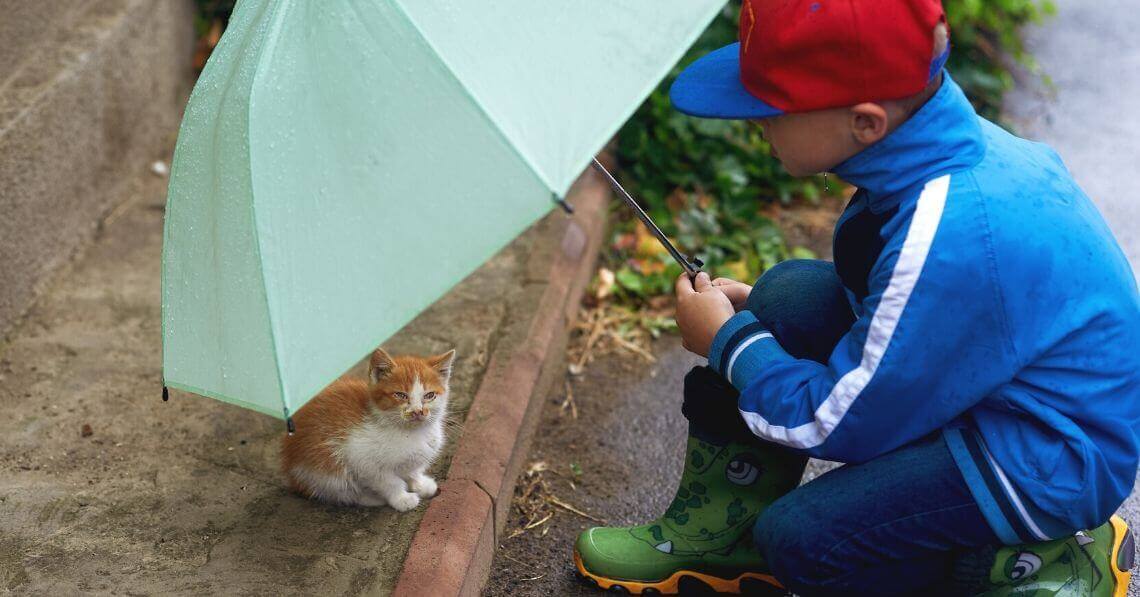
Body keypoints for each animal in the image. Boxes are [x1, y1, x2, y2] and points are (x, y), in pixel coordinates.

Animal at [280, 346, 453, 510]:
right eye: (400, 395)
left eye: (429, 395)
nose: (418, 411)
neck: (411, 432)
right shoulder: (361, 459)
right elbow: (389, 481)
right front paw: (402, 499)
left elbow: (413, 472)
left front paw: (420, 485)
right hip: (324, 468)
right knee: (340, 490)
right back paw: (371, 498)